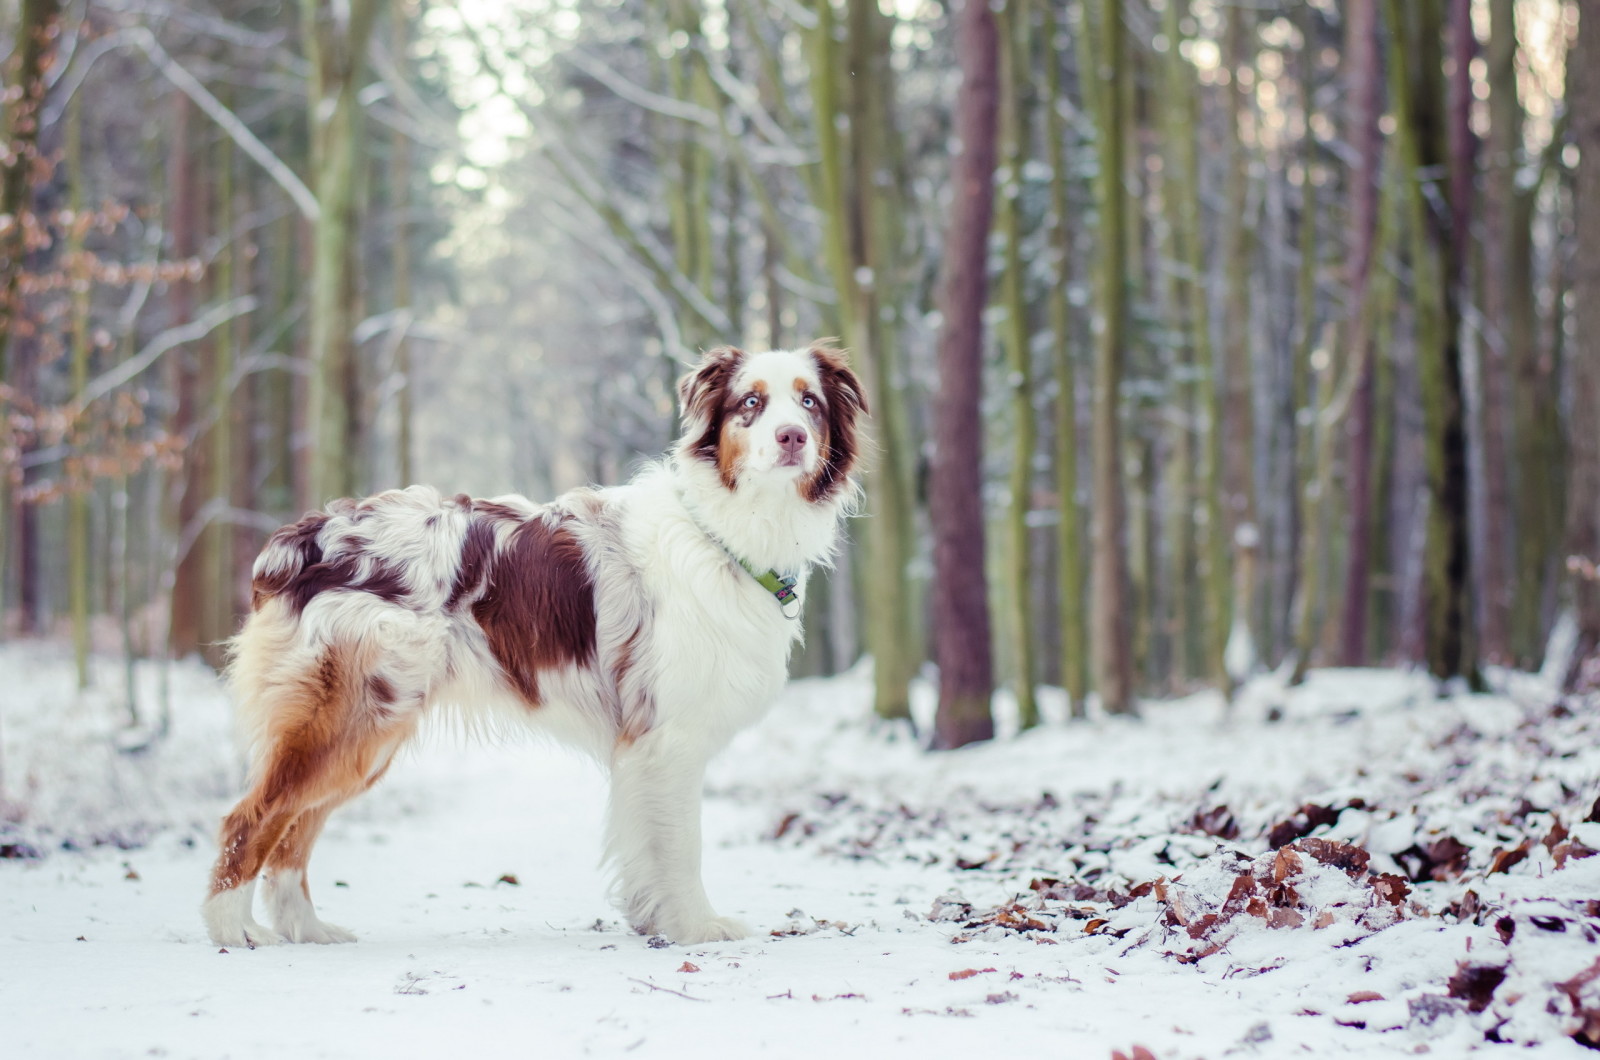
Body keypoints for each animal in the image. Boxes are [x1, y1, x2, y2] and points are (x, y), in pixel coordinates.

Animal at [209, 344, 876, 947]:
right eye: (750, 404)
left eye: (810, 403)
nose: (792, 437)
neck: (722, 531)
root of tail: (306, 537)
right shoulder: (669, 737)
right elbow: (680, 844)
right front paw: (696, 927)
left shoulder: (643, 750)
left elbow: (643, 843)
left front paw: (651, 919)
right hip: (350, 718)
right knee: (251, 819)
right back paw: (232, 930)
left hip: (368, 732)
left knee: (294, 833)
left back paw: (307, 930)